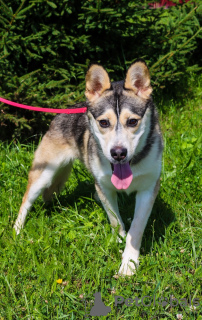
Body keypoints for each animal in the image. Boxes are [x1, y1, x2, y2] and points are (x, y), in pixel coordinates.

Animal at [13, 59, 163, 276]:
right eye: (104, 122)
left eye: (133, 121)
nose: (118, 153)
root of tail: (63, 113)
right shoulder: (105, 187)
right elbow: (115, 219)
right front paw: (119, 240)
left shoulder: (148, 188)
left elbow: (135, 228)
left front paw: (129, 262)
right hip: (44, 172)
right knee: (27, 200)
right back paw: (17, 230)